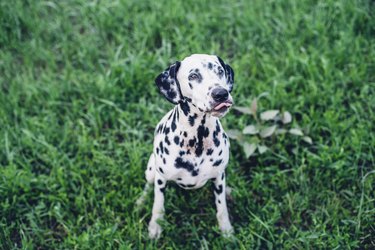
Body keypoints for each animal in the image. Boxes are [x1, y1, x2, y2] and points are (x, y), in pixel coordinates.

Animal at [140, 53, 236, 238]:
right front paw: (155, 226)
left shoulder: (218, 176)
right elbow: (158, 204)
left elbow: (221, 208)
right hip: (151, 168)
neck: (197, 139)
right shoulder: (161, 179)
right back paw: (140, 201)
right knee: (148, 185)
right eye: (193, 76)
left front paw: (226, 229)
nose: (221, 93)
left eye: (220, 71)